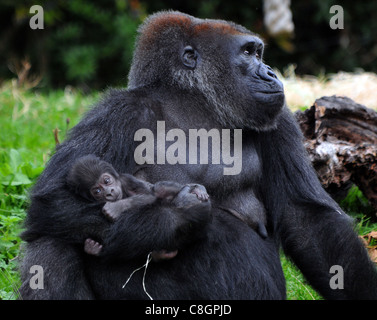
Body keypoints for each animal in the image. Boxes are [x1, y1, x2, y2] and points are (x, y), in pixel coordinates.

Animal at [67, 154, 209, 258]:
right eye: (97, 191)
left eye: (107, 181)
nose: (109, 192)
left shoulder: (125, 179)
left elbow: (150, 195)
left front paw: (116, 207)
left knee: (159, 188)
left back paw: (196, 188)